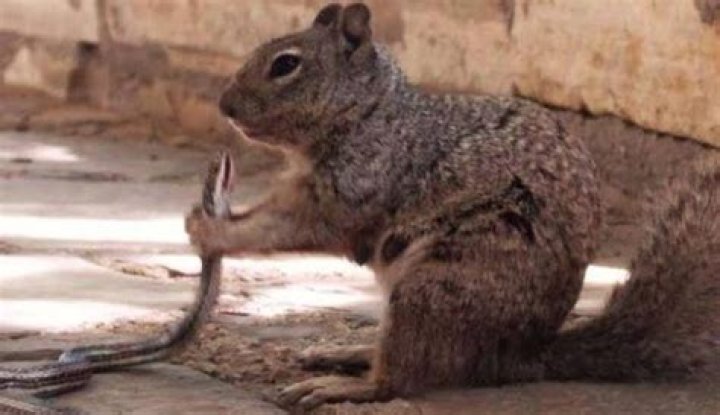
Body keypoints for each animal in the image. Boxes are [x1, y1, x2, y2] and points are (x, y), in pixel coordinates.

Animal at [185, 3, 720, 411]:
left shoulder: (355, 187)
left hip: (435, 287)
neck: (370, 115)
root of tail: (520, 355)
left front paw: (211, 231)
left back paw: (345, 385)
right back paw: (347, 351)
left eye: (286, 65)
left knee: (403, 378)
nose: (224, 106)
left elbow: (287, 227)